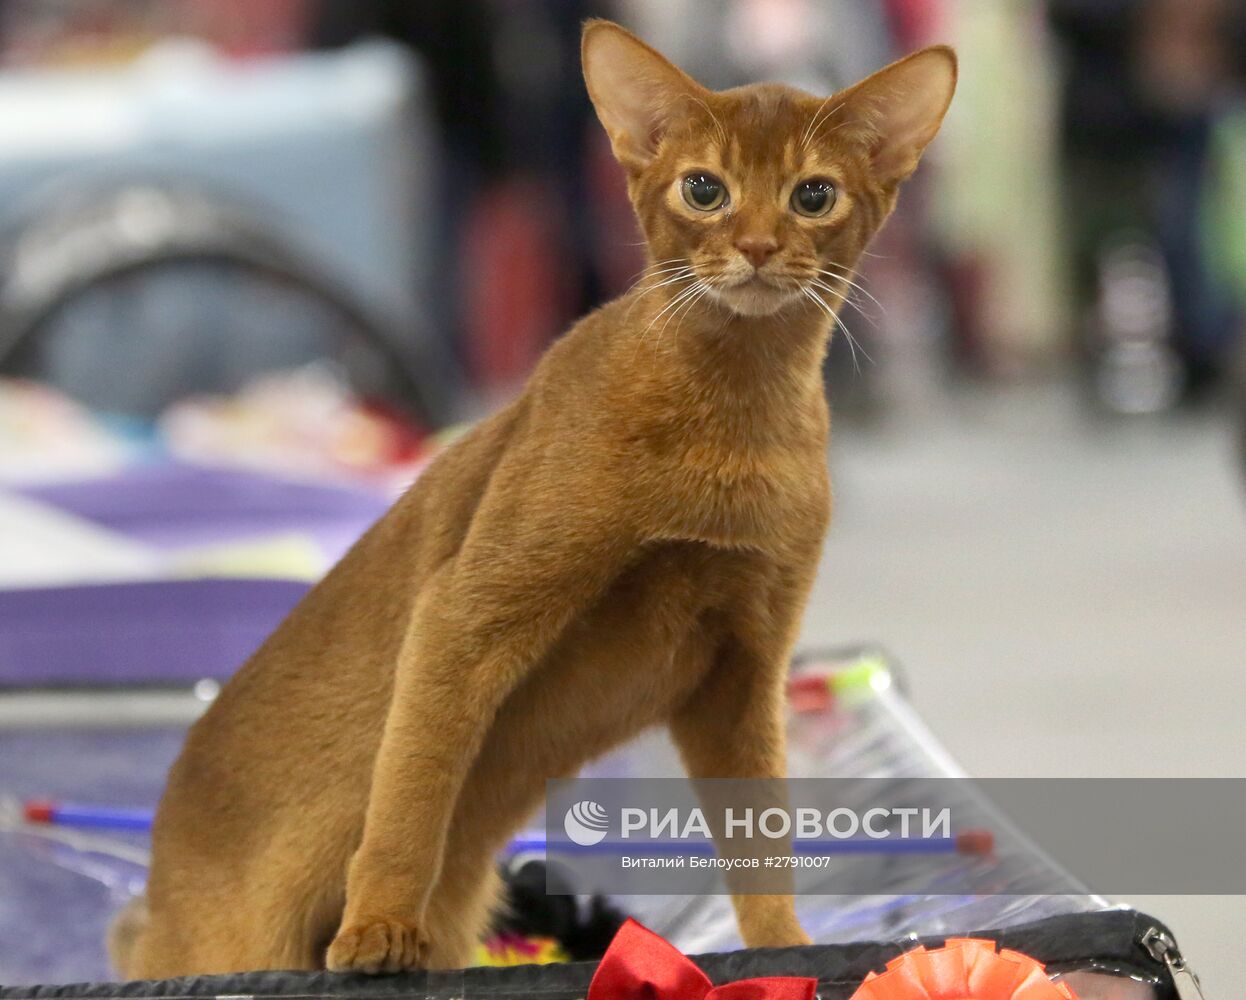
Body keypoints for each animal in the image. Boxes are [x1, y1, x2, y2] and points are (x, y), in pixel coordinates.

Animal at [114, 21, 951, 976]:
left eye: (814, 195)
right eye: (705, 188)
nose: (759, 246)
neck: (732, 414)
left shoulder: (743, 669)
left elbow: (761, 836)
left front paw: (784, 950)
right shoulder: (464, 616)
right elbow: (409, 800)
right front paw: (376, 930)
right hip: (237, 938)